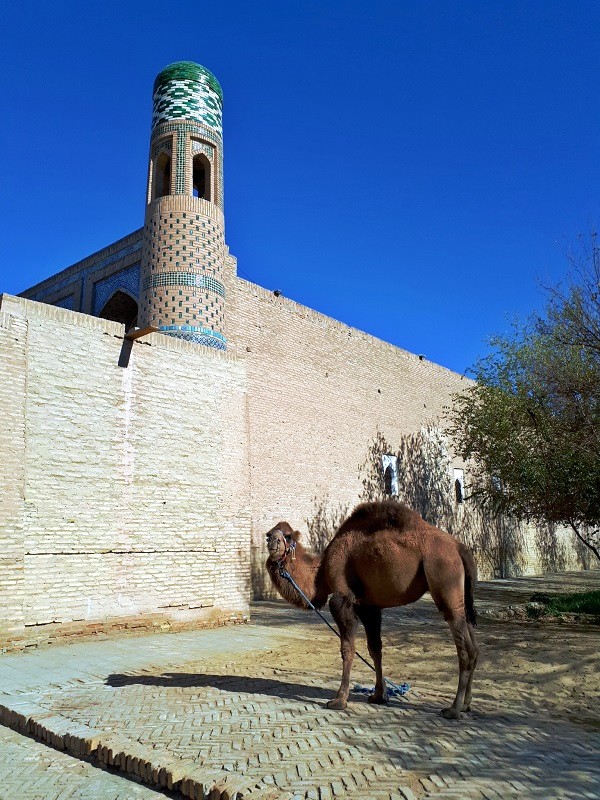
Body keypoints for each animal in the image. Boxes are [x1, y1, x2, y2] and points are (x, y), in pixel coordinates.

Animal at [266, 500, 478, 720]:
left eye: (287, 536)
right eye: (268, 533)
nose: (272, 541)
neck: (321, 572)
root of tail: (460, 548)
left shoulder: (343, 599)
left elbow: (348, 649)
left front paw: (339, 700)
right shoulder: (368, 606)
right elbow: (375, 649)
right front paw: (379, 695)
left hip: (444, 578)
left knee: (465, 649)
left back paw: (453, 709)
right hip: (461, 598)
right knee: (474, 646)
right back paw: (466, 705)